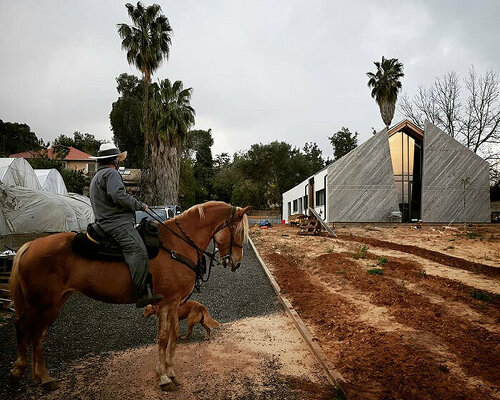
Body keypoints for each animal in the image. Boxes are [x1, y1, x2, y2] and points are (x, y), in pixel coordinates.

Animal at [7, 200, 250, 390]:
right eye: (239, 232)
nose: (237, 263)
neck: (177, 244)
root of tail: (29, 246)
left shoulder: (174, 304)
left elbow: (173, 336)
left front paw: (171, 373)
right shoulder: (167, 303)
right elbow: (163, 338)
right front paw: (163, 378)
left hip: (54, 301)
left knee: (34, 333)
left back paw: (36, 375)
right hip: (44, 304)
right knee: (31, 332)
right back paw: (31, 374)